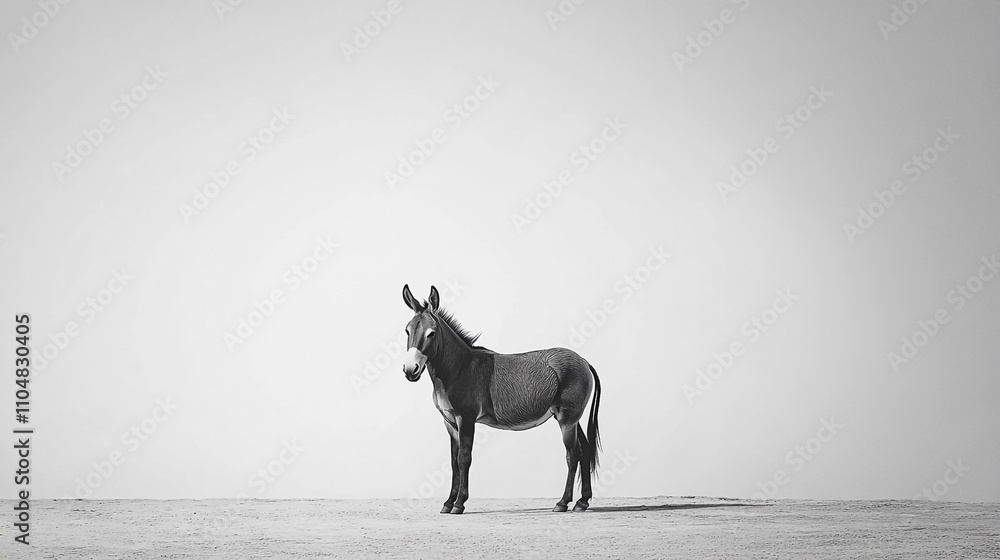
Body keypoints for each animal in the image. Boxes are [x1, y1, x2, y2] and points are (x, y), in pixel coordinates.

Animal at [400, 284, 602, 514]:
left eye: (431, 333)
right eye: (407, 331)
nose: (410, 370)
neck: (460, 368)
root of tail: (583, 360)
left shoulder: (466, 419)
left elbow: (464, 459)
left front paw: (459, 503)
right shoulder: (450, 422)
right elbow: (453, 461)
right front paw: (448, 503)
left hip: (567, 419)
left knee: (572, 455)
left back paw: (562, 503)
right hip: (572, 418)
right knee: (584, 451)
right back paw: (582, 502)